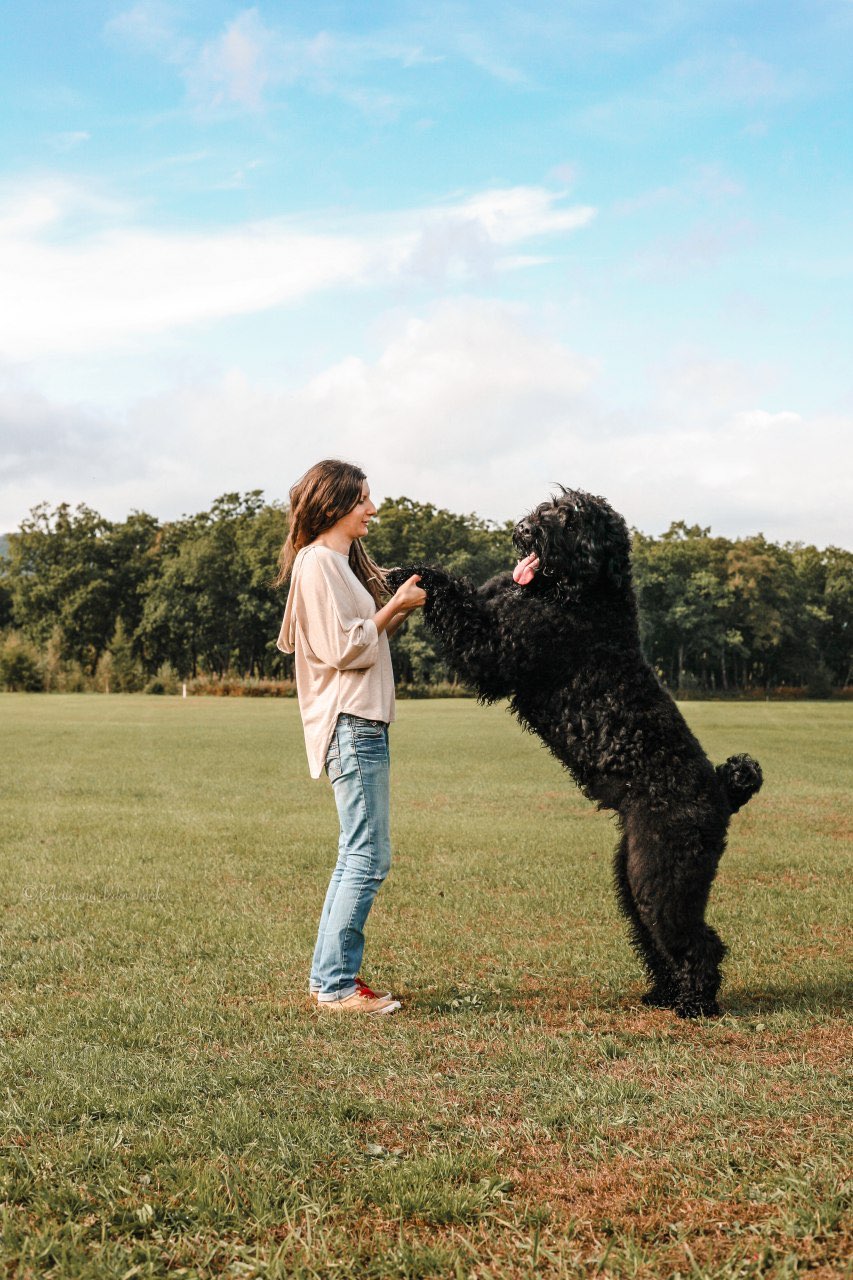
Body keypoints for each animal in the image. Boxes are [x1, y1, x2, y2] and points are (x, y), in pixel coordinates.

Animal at [384, 483, 758, 1013]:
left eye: (571, 520)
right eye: (552, 507)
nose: (524, 530)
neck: (590, 599)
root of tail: (724, 791)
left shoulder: (494, 650)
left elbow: (460, 605)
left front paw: (419, 575)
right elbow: (489, 589)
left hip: (664, 875)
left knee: (696, 941)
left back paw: (695, 1004)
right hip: (633, 874)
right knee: (654, 937)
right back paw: (663, 994)